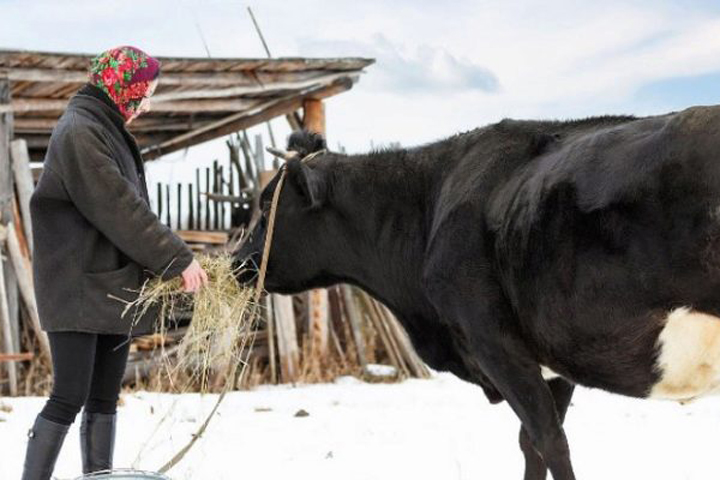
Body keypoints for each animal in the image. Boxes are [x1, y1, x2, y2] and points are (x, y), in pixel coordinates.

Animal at [235, 106, 720, 480]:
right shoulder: (557, 358)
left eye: (267, 205)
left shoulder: (494, 341)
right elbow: (531, 445)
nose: (236, 260)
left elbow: (549, 441)